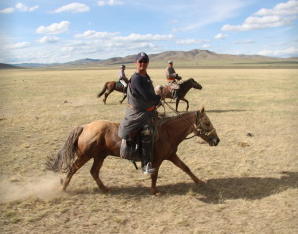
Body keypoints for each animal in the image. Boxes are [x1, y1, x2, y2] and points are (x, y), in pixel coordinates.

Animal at [46, 107, 219, 195]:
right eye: (207, 122)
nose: (217, 140)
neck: (168, 132)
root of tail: (85, 126)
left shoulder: (171, 155)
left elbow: (185, 168)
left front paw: (199, 182)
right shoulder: (157, 159)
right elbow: (154, 174)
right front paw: (155, 190)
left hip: (99, 156)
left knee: (94, 172)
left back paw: (105, 189)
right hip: (85, 155)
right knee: (73, 169)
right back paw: (62, 189)